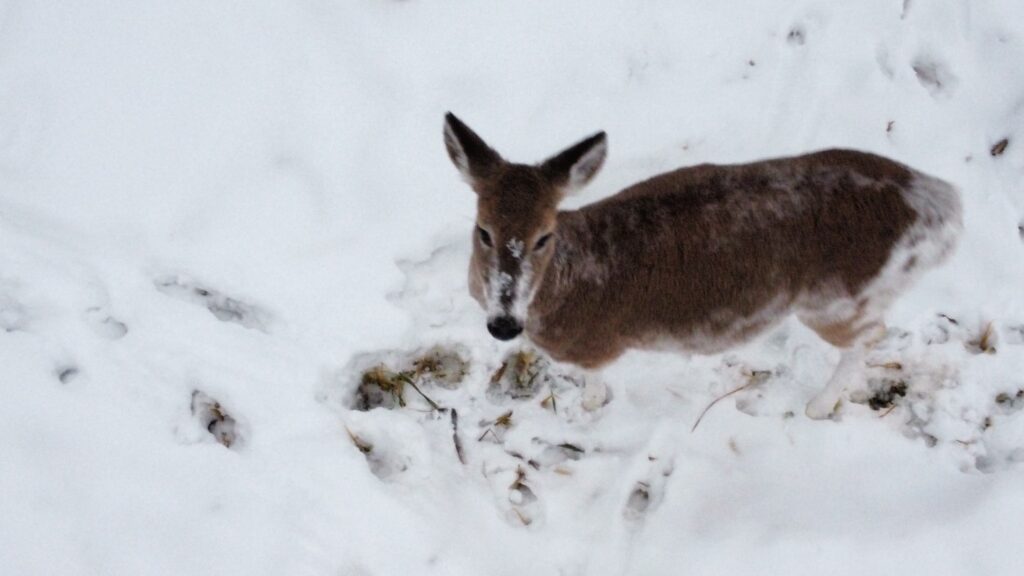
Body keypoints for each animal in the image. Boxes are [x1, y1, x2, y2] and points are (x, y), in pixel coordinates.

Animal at [444, 112, 962, 416]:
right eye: (483, 230)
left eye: (543, 237)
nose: (504, 325)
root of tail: (944, 208)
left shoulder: (595, 345)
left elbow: (594, 381)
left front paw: (589, 407)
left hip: (837, 299)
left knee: (869, 336)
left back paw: (818, 406)